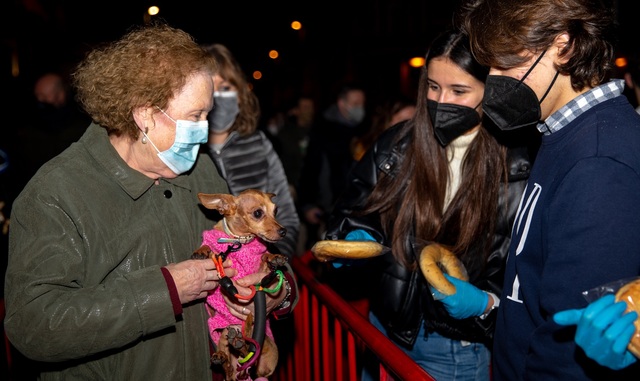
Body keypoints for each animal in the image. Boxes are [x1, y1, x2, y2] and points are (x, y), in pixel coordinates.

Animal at [192, 189, 288, 378]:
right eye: (258, 213)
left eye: (276, 210)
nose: (283, 231)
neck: (240, 241)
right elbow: (210, 249)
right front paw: (202, 250)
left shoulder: (259, 271)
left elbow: (265, 257)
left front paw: (274, 257)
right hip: (222, 335)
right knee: (229, 366)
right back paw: (224, 355)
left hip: (262, 342)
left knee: (249, 350)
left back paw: (241, 342)